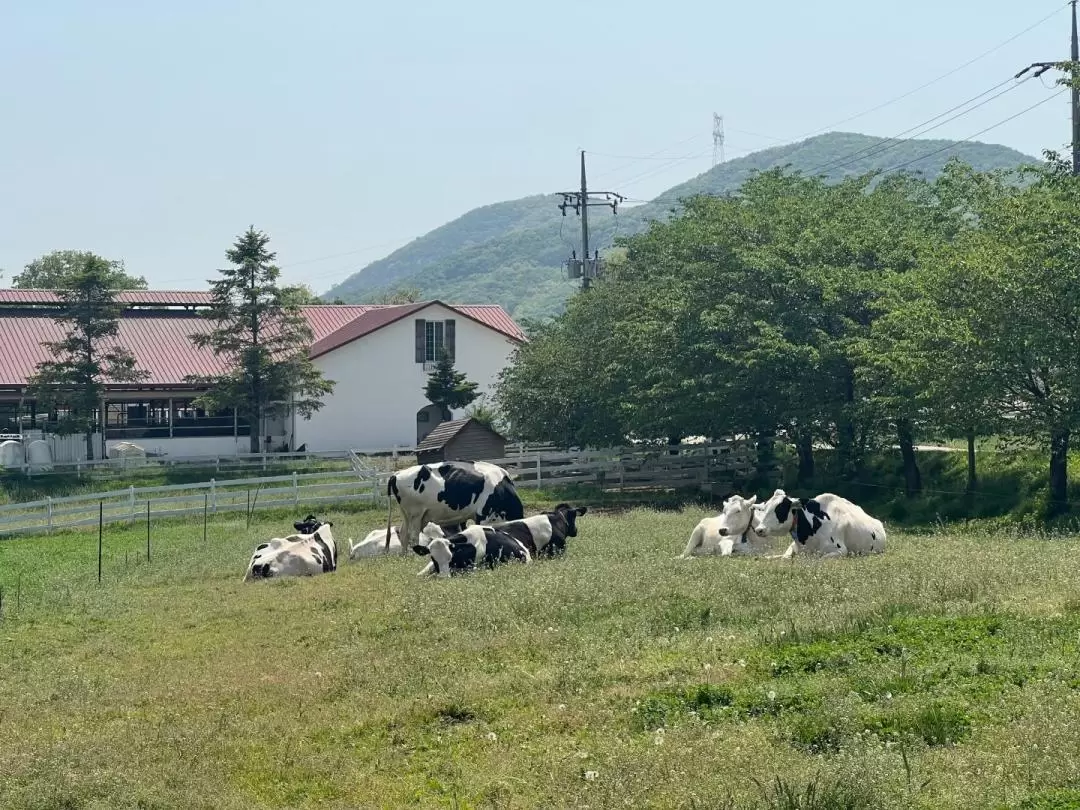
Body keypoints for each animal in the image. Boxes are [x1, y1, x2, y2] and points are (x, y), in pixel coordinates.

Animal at [386, 460, 524, 557]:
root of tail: (397, 473)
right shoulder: (483, 515)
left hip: (410, 515)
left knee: (403, 534)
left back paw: (405, 556)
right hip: (416, 514)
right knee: (413, 535)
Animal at [751, 492, 885, 561]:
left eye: (780, 509)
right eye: (764, 508)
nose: (759, 529)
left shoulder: (840, 551)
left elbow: (819, 559)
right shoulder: (795, 547)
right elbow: (785, 557)